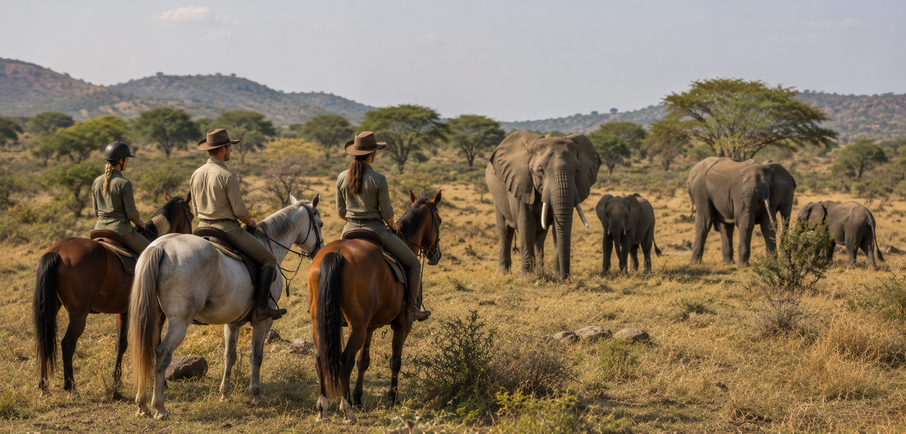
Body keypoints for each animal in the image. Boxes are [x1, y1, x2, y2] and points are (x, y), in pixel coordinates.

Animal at [33, 191, 194, 398]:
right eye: (191, 215)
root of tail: (58, 251)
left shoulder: (123, 311)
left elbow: (121, 343)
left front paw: (116, 379)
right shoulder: (158, 312)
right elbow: (157, 342)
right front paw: (161, 382)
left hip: (51, 307)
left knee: (43, 341)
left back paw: (43, 384)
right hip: (78, 314)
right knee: (67, 344)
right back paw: (71, 386)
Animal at [129, 194, 324, 420]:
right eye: (320, 224)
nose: (319, 250)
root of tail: (161, 246)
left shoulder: (232, 322)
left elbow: (229, 356)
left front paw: (225, 393)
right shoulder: (263, 321)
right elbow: (256, 357)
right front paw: (256, 394)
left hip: (152, 317)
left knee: (145, 352)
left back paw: (142, 405)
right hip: (179, 322)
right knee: (162, 353)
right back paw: (159, 406)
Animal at [310, 191, 443, 423]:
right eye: (440, 221)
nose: (436, 254)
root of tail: (338, 252)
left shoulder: (370, 328)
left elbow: (364, 361)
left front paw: (358, 398)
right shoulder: (402, 325)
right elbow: (395, 360)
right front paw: (393, 398)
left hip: (322, 323)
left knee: (322, 359)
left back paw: (323, 409)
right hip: (357, 327)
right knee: (345, 358)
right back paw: (346, 409)